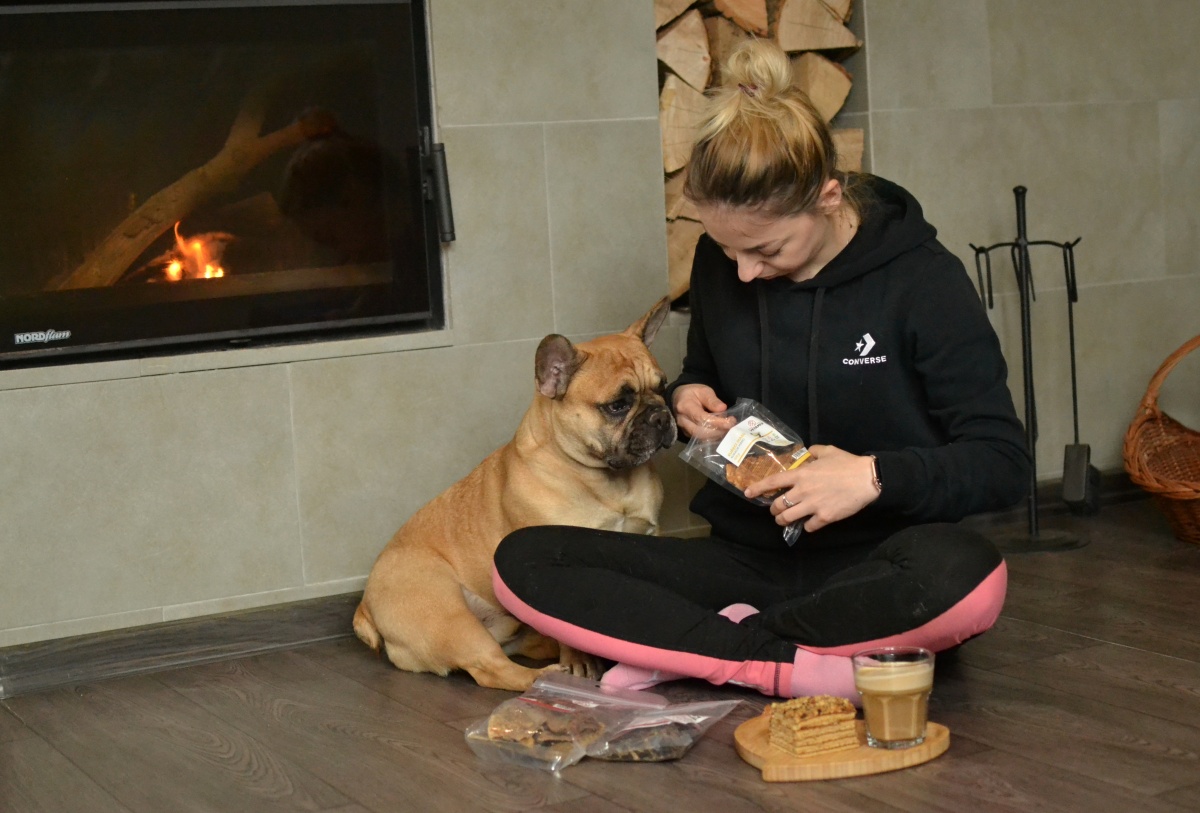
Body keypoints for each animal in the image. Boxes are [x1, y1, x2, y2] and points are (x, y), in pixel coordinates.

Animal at [353, 297, 678, 691]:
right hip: (448, 616)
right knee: (491, 668)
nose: (661, 416)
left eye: (664, 386)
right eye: (617, 405)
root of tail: (365, 605)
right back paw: (548, 676)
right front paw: (580, 660)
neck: (607, 480)